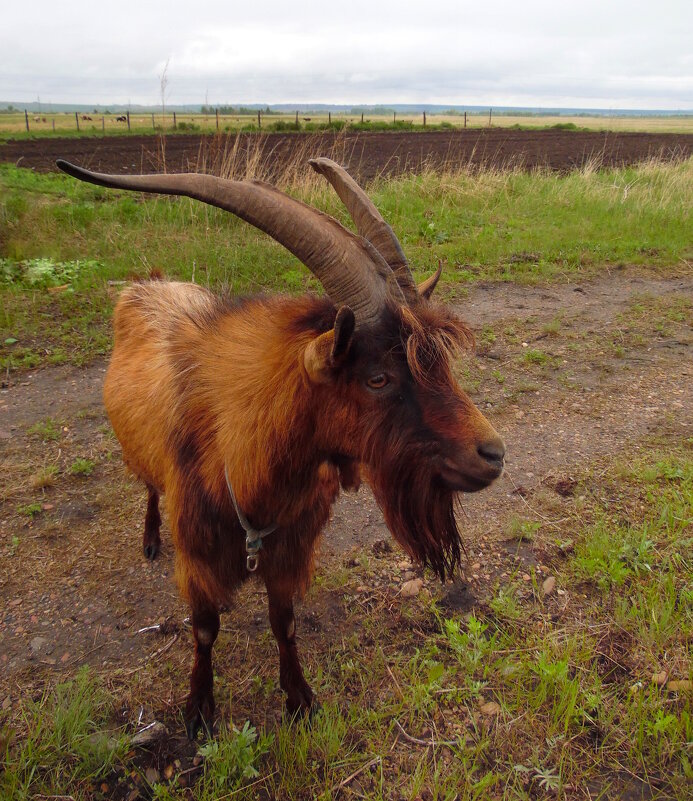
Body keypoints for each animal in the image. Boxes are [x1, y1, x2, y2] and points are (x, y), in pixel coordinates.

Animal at [56, 156, 506, 736]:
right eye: (378, 378)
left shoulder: (291, 548)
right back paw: (151, 539)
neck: (244, 462)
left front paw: (299, 698)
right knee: (150, 488)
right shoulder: (198, 556)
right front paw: (199, 710)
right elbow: (203, 630)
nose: (492, 454)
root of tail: (145, 286)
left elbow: (285, 622)